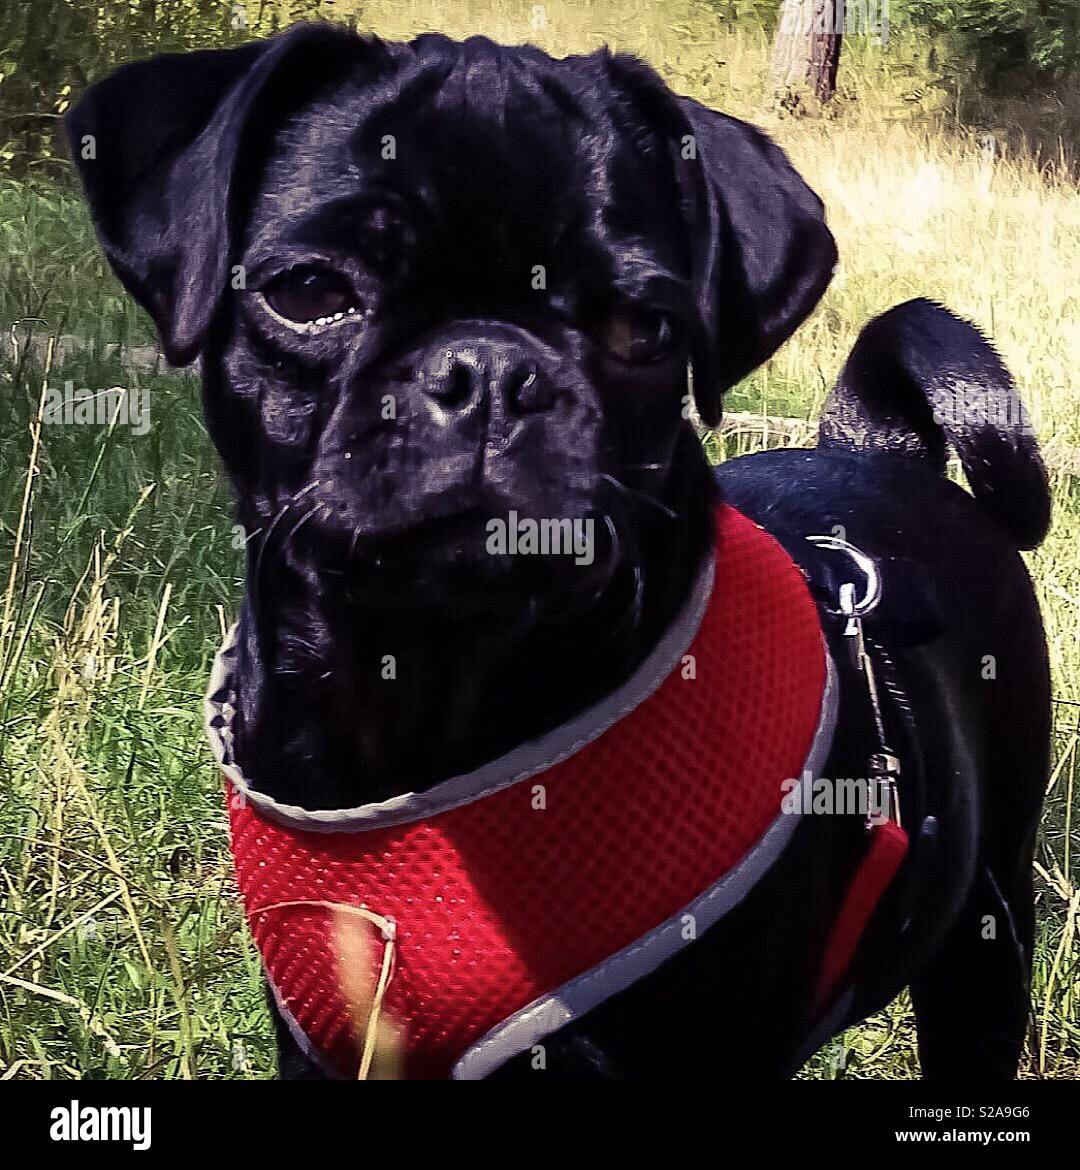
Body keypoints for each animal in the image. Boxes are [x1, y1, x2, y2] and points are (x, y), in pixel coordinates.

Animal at [65, 22, 1048, 1081]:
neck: (424, 706)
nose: (490, 368)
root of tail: (879, 445)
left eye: (645, 327)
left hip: (986, 951)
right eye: (310, 294)